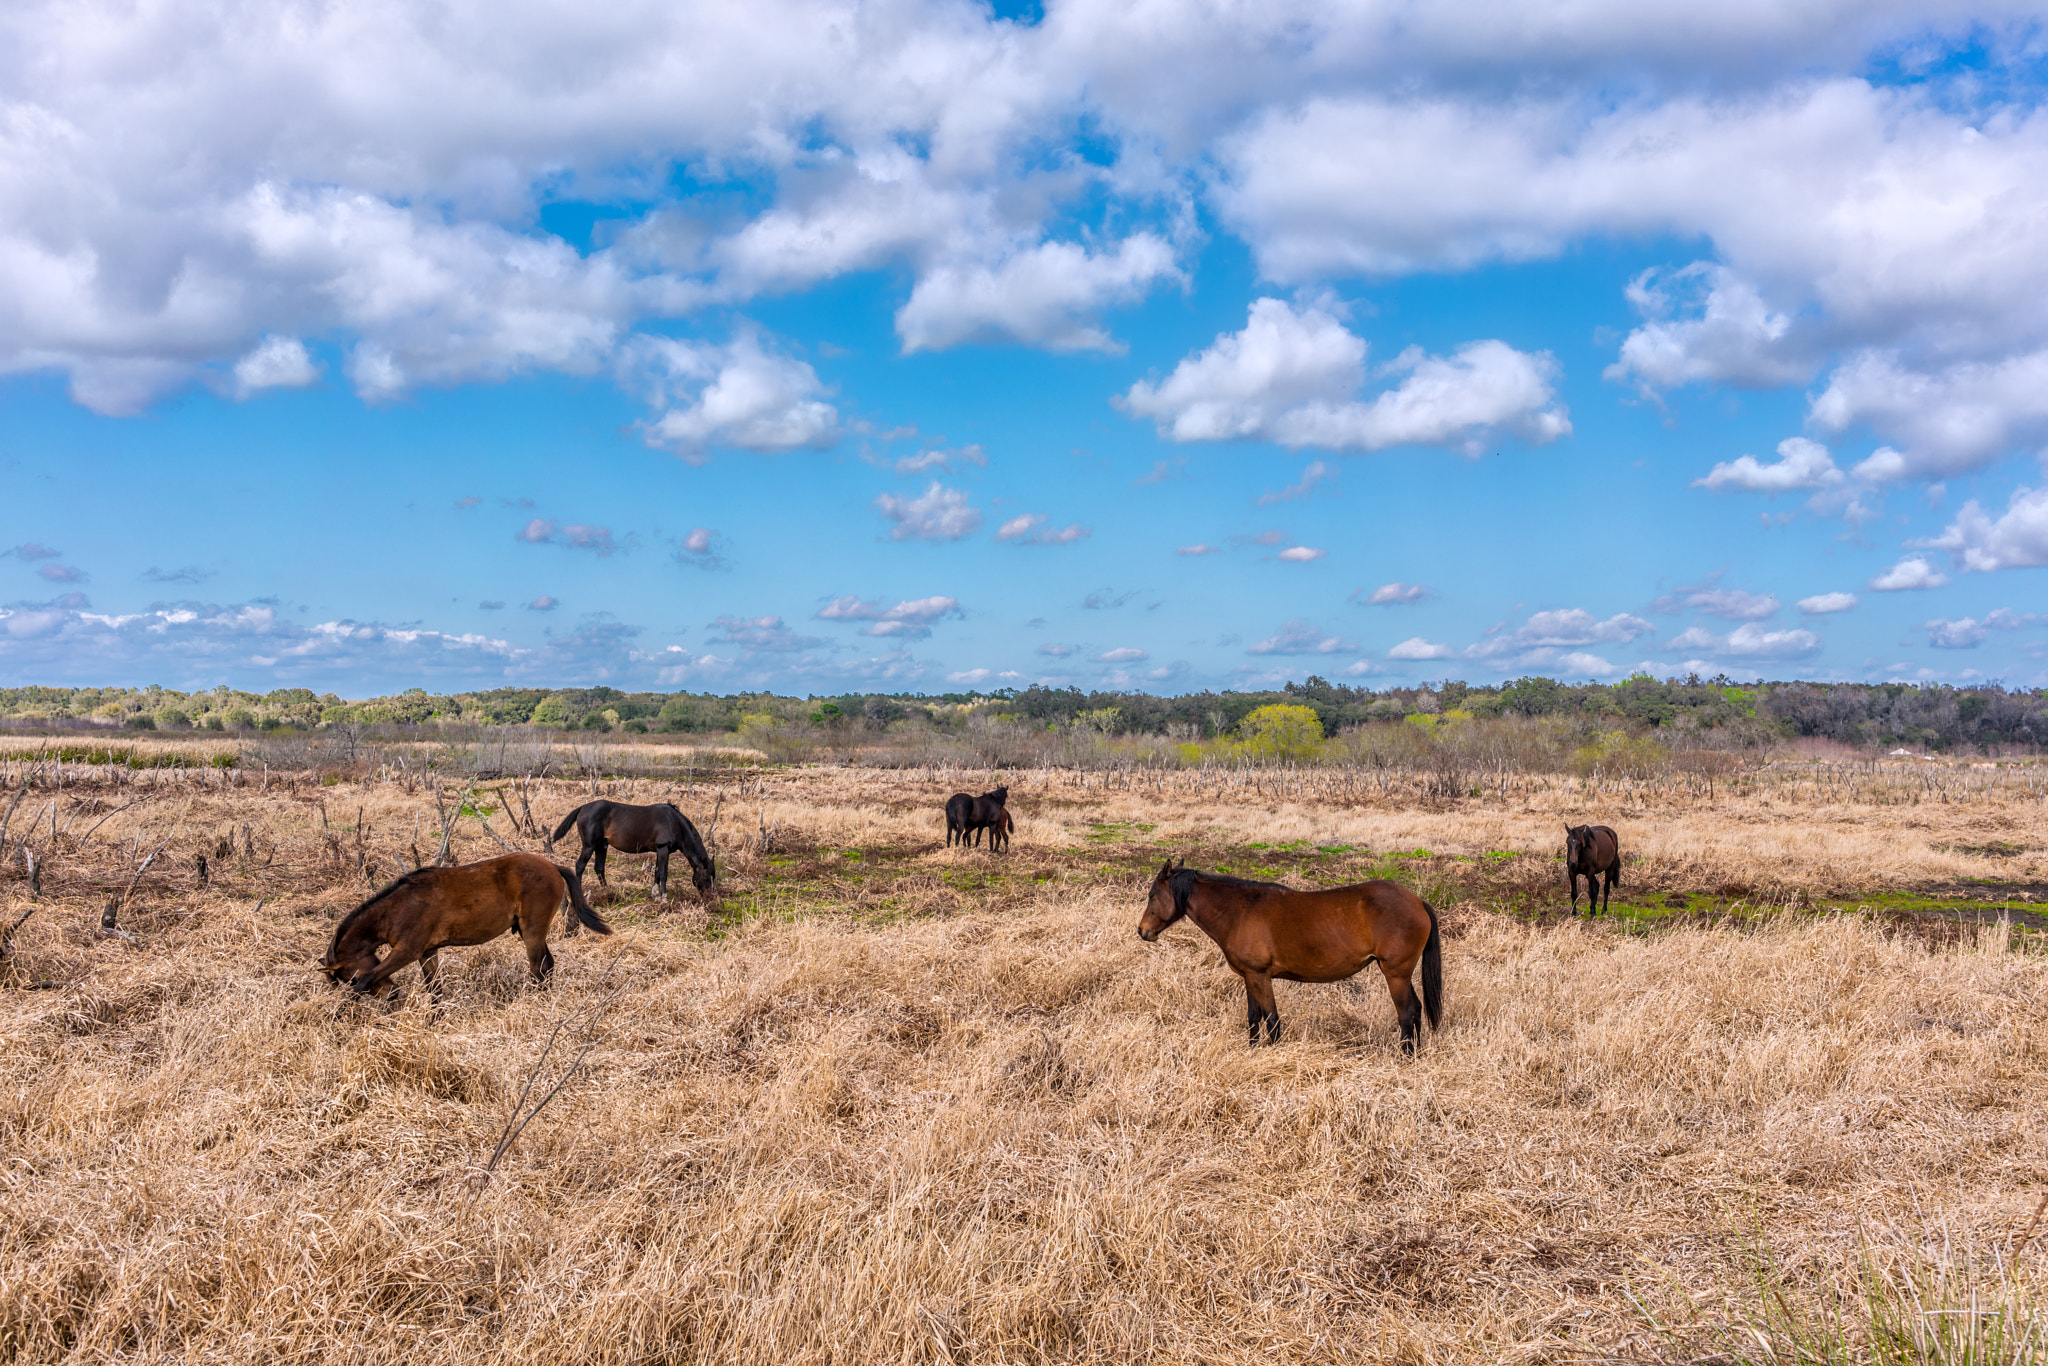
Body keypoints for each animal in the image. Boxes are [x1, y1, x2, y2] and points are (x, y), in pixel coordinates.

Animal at [321, 847, 606, 999]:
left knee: (538, 968)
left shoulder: (407, 951)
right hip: (530, 932)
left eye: (347, 978)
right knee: (547, 967)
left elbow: (368, 978)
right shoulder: (427, 952)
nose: (391, 994)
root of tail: (553, 867)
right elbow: (434, 989)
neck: (398, 907)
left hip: (533, 931)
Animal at [552, 794, 720, 901]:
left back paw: (607, 891)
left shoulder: (659, 850)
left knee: (599, 868)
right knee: (580, 866)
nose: (711, 898)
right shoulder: (663, 848)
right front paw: (664, 898)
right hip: (589, 846)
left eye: (714, 877)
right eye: (706, 877)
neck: (674, 822)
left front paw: (655, 894)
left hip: (601, 845)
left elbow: (657, 871)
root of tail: (583, 808)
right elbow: (664, 873)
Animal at [1138, 860, 1441, 1056]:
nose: (1143, 931)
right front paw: (1252, 1051)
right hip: (1400, 975)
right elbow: (1253, 1017)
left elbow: (1272, 1019)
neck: (1239, 910)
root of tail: (1417, 902)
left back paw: (1404, 1058)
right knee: (1415, 1011)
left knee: (1407, 1013)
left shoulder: (1261, 976)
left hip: (1396, 974)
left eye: (1152, 895)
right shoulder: (1250, 976)